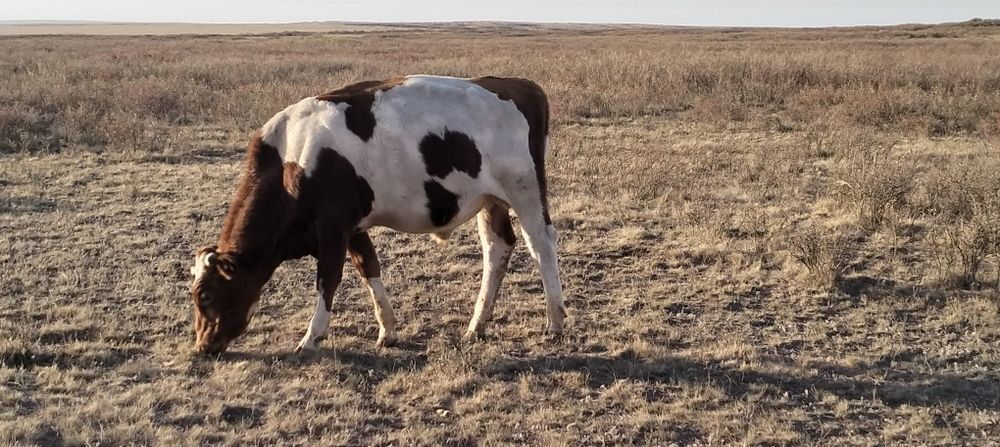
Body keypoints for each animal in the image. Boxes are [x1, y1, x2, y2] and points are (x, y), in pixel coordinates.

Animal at [189, 75, 566, 355]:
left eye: (205, 295)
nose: (202, 346)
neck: (291, 159)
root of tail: (519, 85)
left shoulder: (333, 227)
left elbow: (328, 279)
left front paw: (312, 337)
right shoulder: (353, 227)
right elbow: (368, 266)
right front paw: (388, 329)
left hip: (526, 193)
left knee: (541, 245)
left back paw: (555, 321)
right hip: (491, 201)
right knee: (497, 249)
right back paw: (477, 325)